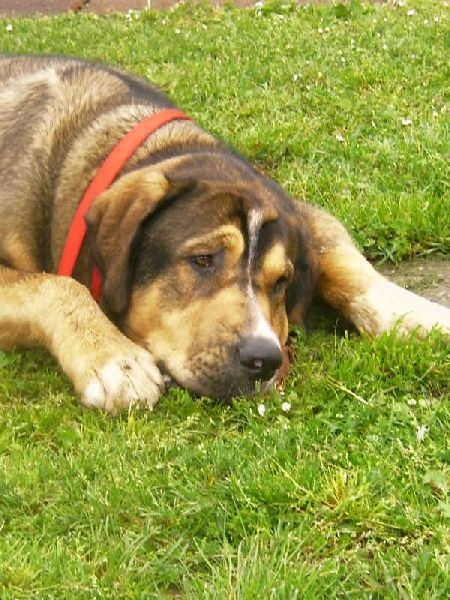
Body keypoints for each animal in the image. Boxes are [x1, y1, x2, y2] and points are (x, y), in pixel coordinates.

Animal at [0, 54, 448, 412]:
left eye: (281, 281)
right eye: (202, 259)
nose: (264, 359)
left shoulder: (309, 215)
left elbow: (345, 264)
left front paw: (421, 318)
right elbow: (55, 286)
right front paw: (112, 358)